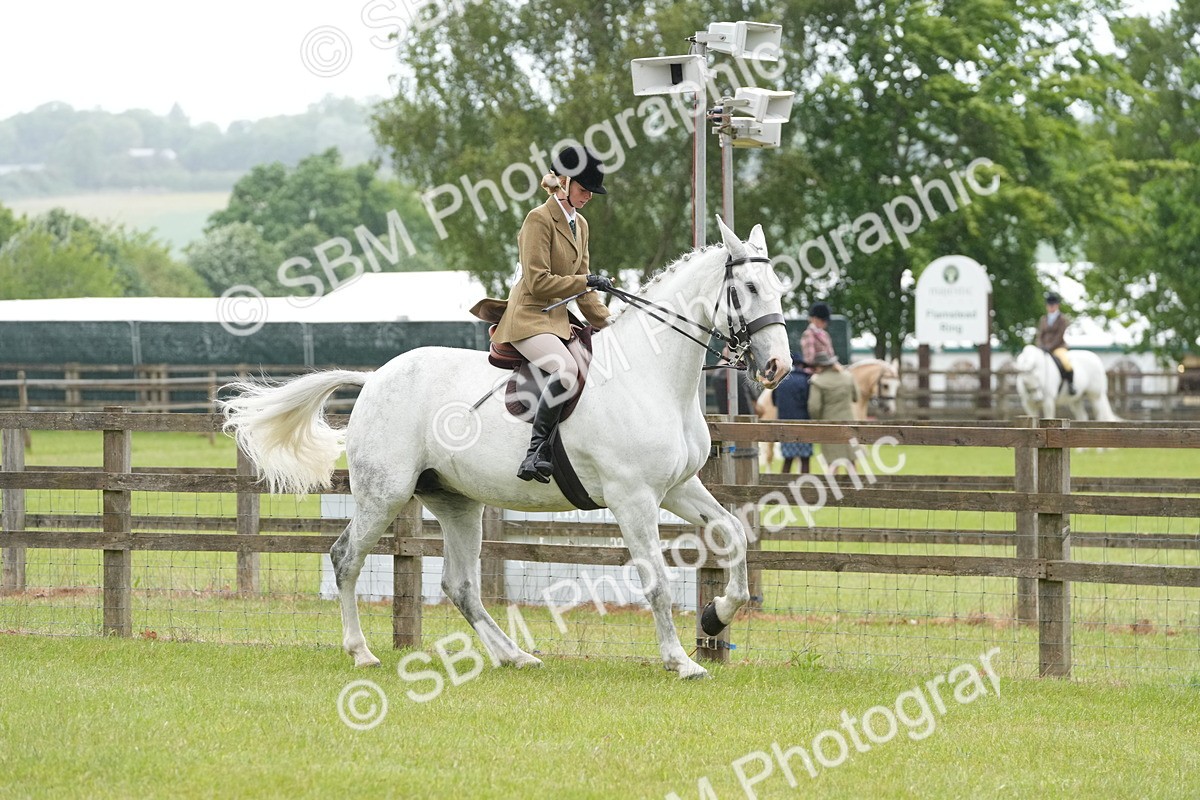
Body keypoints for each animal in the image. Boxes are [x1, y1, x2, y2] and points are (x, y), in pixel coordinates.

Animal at [220, 217, 791, 680]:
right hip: (384, 494)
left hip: (455, 501)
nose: (777, 367)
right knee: (346, 559)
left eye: (779, 288)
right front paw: (681, 662)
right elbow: (656, 581)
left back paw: (514, 656)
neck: (654, 377)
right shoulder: (633, 498)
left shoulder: (677, 488)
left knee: (459, 586)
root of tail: (376, 376)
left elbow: (733, 534)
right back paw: (361, 652)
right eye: (748, 288)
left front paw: (716, 615)